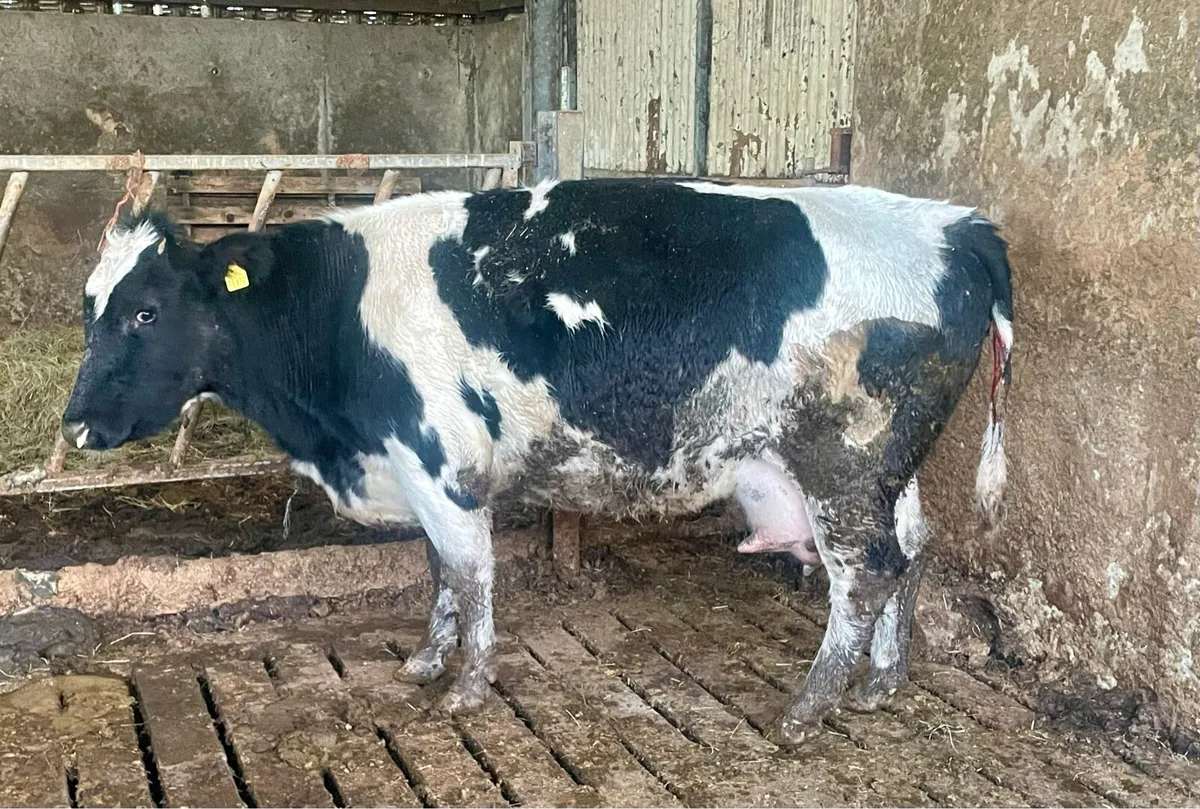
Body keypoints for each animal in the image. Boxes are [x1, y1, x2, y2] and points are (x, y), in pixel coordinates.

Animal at [60, 177, 1013, 744]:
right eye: (89, 306)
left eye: (145, 311)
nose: (73, 423)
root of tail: (954, 223)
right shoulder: (417, 472)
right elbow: (438, 572)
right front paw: (426, 660)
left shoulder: (441, 464)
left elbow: (470, 573)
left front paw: (467, 687)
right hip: (889, 469)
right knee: (913, 550)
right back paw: (881, 682)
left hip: (844, 461)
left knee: (865, 574)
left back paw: (808, 707)